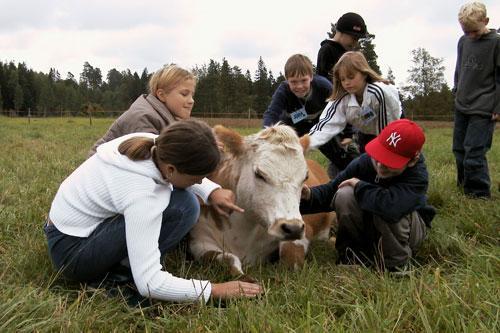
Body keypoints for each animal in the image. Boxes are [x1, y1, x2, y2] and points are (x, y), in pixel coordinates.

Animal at [189, 123, 334, 276]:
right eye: (259, 174)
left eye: (305, 177)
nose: (293, 228)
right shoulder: (200, 242)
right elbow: (229, 260)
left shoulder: (303, 232)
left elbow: (290, 258)